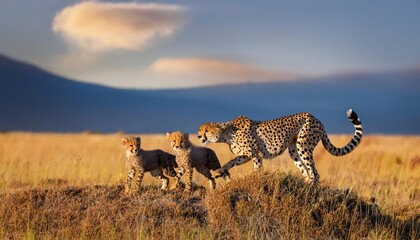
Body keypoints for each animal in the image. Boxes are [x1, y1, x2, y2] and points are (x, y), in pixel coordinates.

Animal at [199, 109, 362, 186]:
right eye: (200, 130)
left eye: (205, 130)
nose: (199, 136)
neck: (225, 133)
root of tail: (317, 119)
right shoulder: (245, 155)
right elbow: (232, 161)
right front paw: (220, 171)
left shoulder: (255, 154)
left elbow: (257, 168)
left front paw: (254, 178)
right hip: (293, 150)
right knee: (306, 171)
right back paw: (305, 183)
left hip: (303, 145)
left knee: (315, 172)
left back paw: (311, 186)